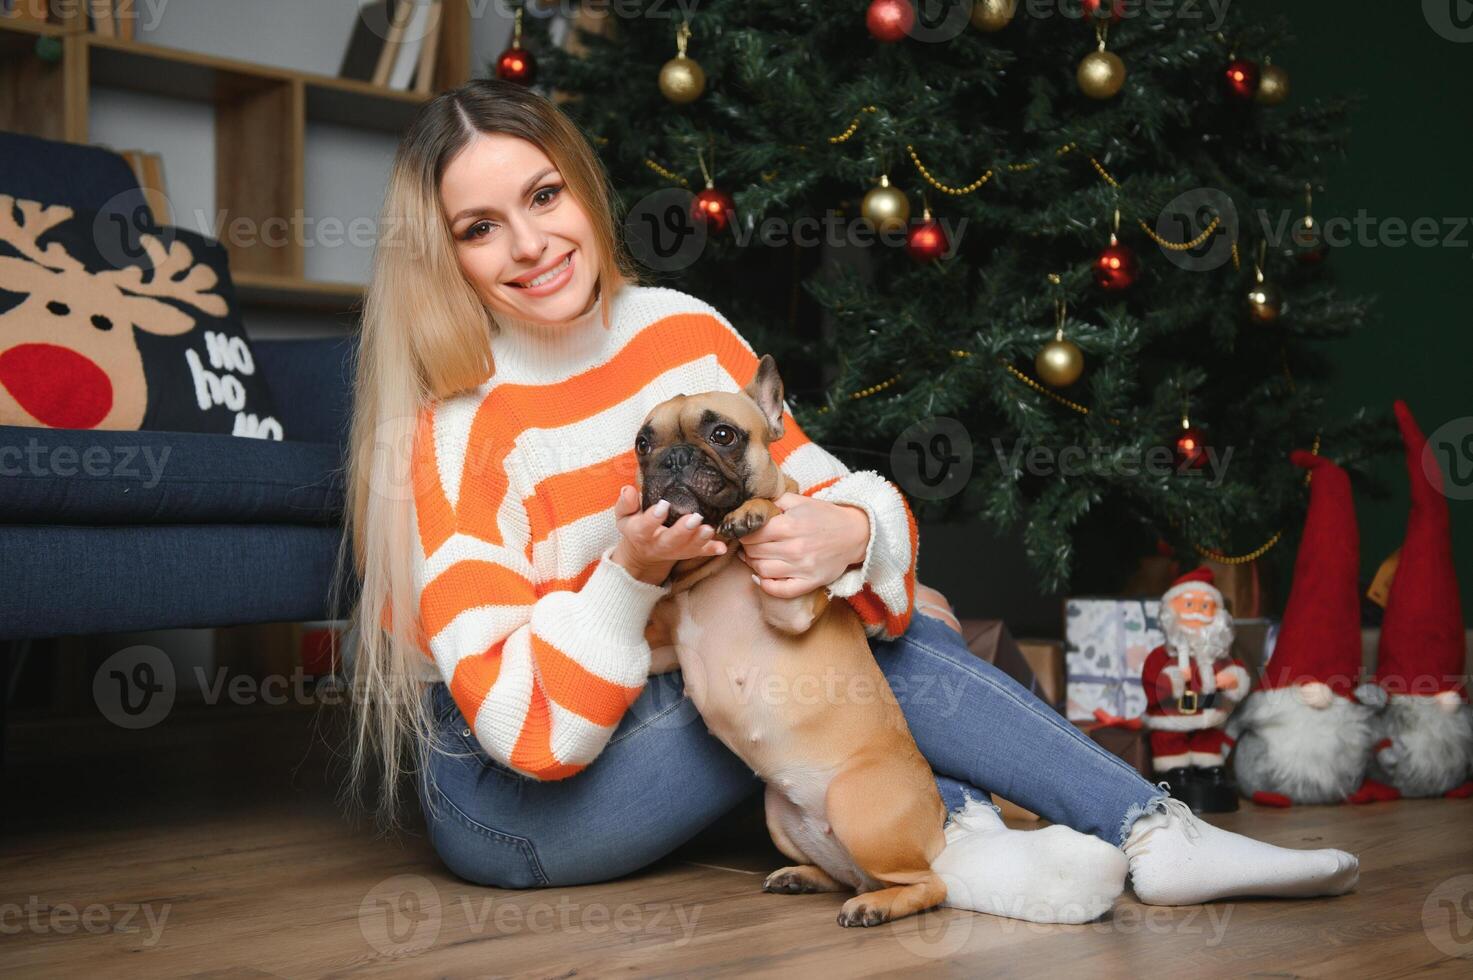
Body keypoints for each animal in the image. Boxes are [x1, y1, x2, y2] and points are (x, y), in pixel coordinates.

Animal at [636, 352, 1125, 925]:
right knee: (848, 875)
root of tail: (935, 830)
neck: (712, 566)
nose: (672, 459)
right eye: (643, 444)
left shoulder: (792, 605)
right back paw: (805, 877)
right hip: (781, 817)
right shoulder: (662, 650)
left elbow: (776, 509)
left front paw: (753, 511)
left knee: (928, 885)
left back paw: (875, 906)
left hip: (857, 805)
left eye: (722, 434)